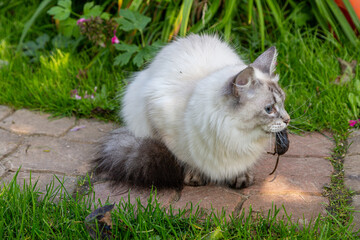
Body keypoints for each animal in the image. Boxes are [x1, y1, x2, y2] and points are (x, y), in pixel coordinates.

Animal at [93, 34, 290, 190]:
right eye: (269, 109)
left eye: (283, 102)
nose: (288, 120)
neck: (235, 134)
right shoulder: (161, 124)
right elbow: (186, 159)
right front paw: (194, 176)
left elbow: (241, 165)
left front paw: (241, 177)